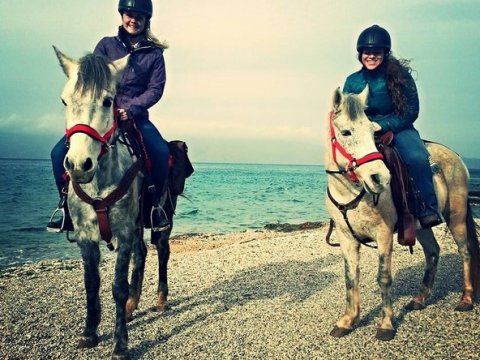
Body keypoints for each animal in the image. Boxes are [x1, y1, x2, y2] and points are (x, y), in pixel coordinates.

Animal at [54, 47, 178, 360]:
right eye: (64, 100)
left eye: (108, 101)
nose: (79, 165)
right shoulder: (86, 235)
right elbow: (91, 283)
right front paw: (89, 333)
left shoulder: (122, 232)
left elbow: (118, 287)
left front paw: (120, 345)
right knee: (141, 253)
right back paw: (133, 306)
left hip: (162, 220)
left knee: (161, 251)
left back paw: (160, 299)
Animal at [324, 86, 478, 340]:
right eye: (346, 132)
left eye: (373, 132)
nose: (380, 178)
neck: (352, 191)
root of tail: (455, 155)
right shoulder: (346, 239)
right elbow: (350, 278)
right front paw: (347, 321)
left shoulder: (384, 234)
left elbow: (384, 277)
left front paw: (386, 324)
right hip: (422, 226)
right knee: (433, 252)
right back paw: (420, 299)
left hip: (456, 216)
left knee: (465, 252)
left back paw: (466, 298)